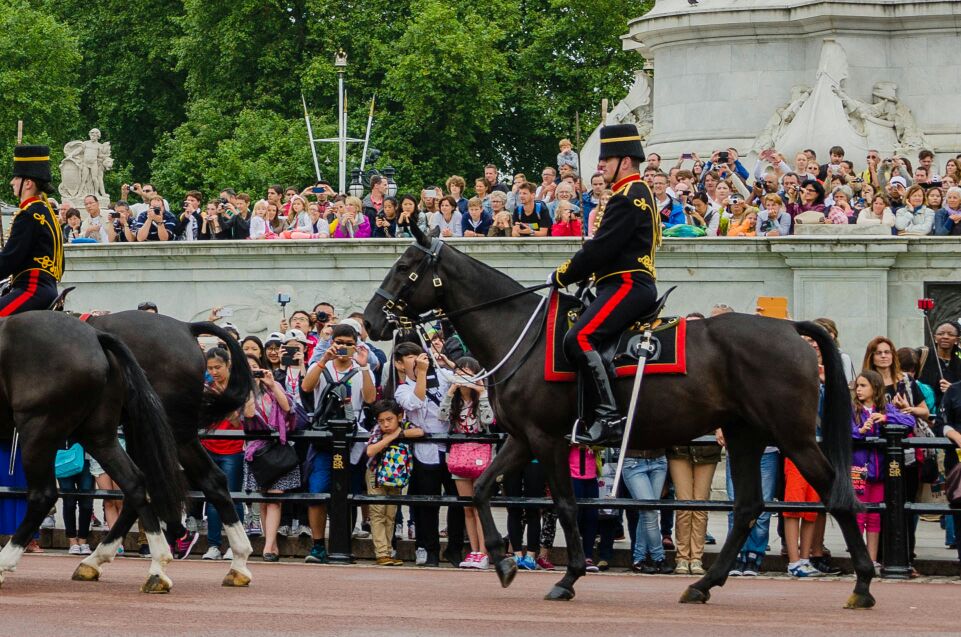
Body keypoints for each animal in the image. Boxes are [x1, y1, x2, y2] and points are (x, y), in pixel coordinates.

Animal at [0, 310, 187, 592]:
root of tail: (96, 336)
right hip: (98, 436)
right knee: (135, 483)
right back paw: (152, 567)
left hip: (38, 429)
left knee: (43, 495)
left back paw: (5, 562)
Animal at [364, 231, 872, 608]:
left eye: (405, 265)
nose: (371, 321)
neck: (522, 335)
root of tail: (791, 327)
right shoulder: (523, 438)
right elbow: (484, 488)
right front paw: (503, 561)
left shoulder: (546, 439)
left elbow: (566, 505)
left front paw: (568, 576)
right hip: (744, 434)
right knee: (748, 507)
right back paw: (702, 585)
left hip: (793, 436)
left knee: (833, 492)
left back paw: (863, 584)